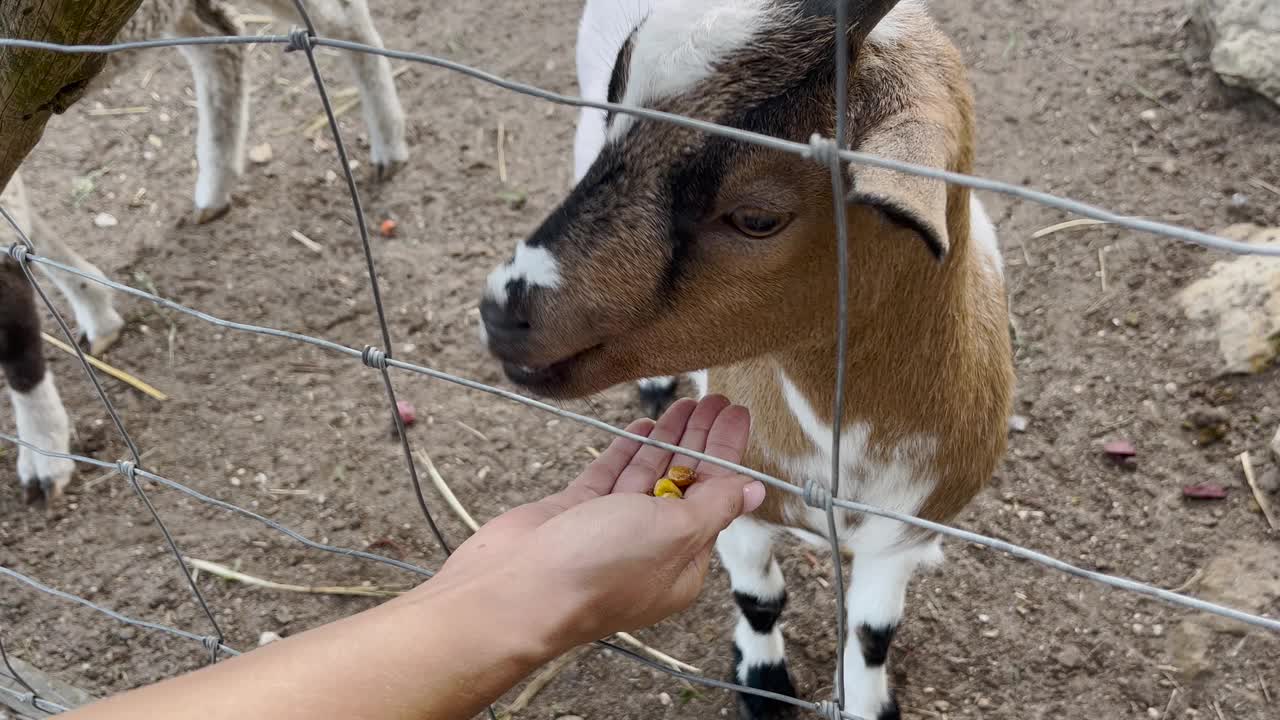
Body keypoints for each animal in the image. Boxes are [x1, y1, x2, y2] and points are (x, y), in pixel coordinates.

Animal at [0, 0, 407, 502]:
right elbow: (29, 235)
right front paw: (95, 302)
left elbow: (16, 343)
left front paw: (43, 458)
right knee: (221, 38)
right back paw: (215, 187)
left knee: (342, 19)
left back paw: (389, 142)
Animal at [483, 1, 1013, 717]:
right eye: (619, 115)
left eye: (758, 218)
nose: (501, 313)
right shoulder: (736, 495)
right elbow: (759, 597)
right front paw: (763, 683)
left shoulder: (905, 532)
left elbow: (873, 633)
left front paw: (866, 701)